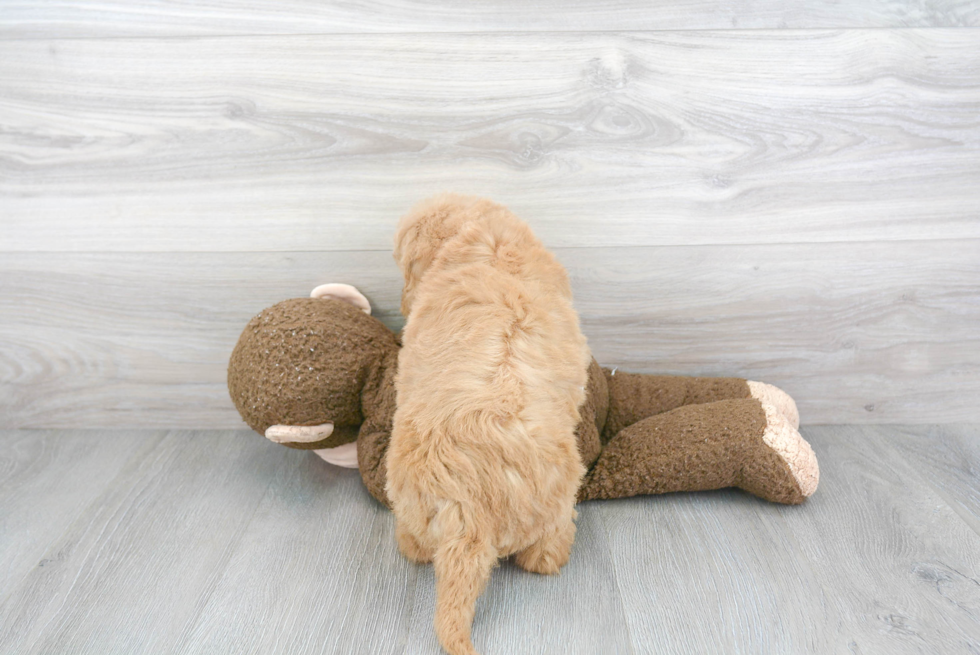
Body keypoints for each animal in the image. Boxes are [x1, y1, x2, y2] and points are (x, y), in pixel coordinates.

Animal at [388, 193, 588, 655]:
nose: (402, 302)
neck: (490, 240)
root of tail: (467, 512)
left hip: (410, 502)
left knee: (416, 546)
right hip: (557, 499)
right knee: (543, 551)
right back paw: (554, 556)